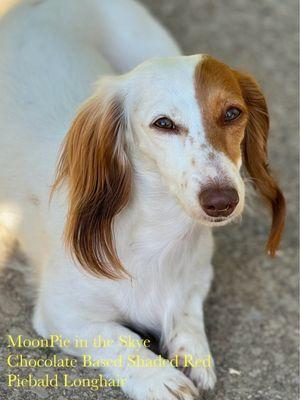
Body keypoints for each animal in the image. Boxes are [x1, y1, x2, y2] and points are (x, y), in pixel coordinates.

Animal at [0, 0, 286, 398]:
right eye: (163, 123)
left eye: (233, 113)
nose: (221, 200)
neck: (160, 237)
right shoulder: (63, 313)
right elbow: (121, 340)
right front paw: (161, 378)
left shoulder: (198, 277)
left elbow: (185, 314)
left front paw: (192, 350)